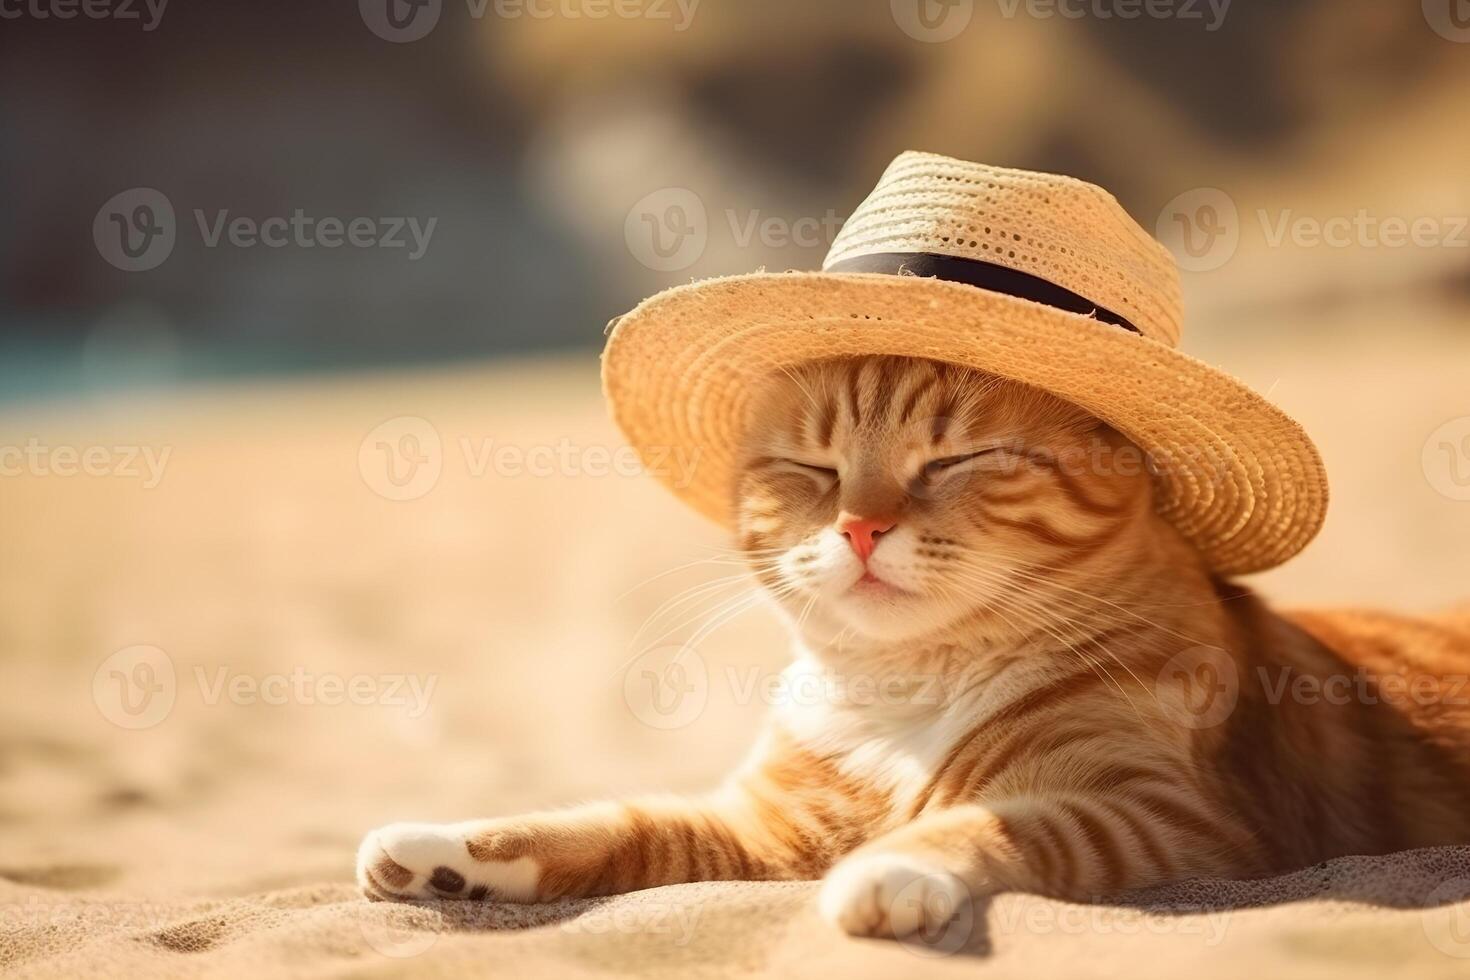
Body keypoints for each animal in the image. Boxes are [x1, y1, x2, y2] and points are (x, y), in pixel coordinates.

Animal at [361, 354, 1470, 940]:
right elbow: (615, 824)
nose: (861, 525)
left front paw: (889, 871)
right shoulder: (762, 824)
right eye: (814, 469)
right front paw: (447, 855)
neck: (903, 691)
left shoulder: (1169, 813)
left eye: (954, 460)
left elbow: (997, 821)